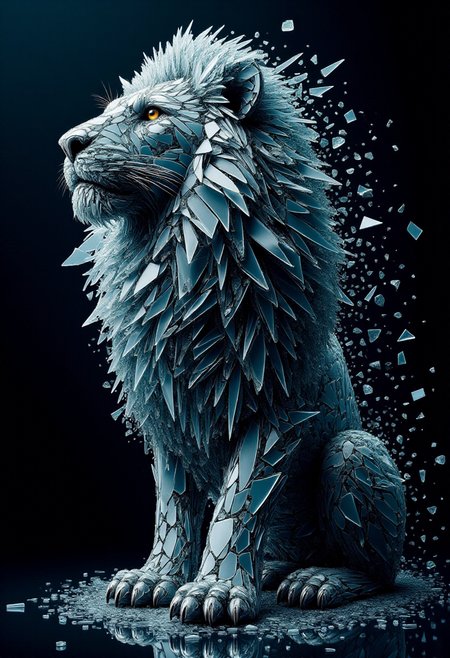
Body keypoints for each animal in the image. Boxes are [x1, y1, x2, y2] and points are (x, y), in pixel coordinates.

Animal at [59, 25, 406, 625]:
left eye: (152, 114)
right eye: (113, 109)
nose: (68, 144)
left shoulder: (278, 404)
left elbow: (237, 501)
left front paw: (213, 593)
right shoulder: (164, 404)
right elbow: (172, 505)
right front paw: (153, 580)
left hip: (356, 450)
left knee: (380, 569)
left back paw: (317, 581)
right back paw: (272, 573)